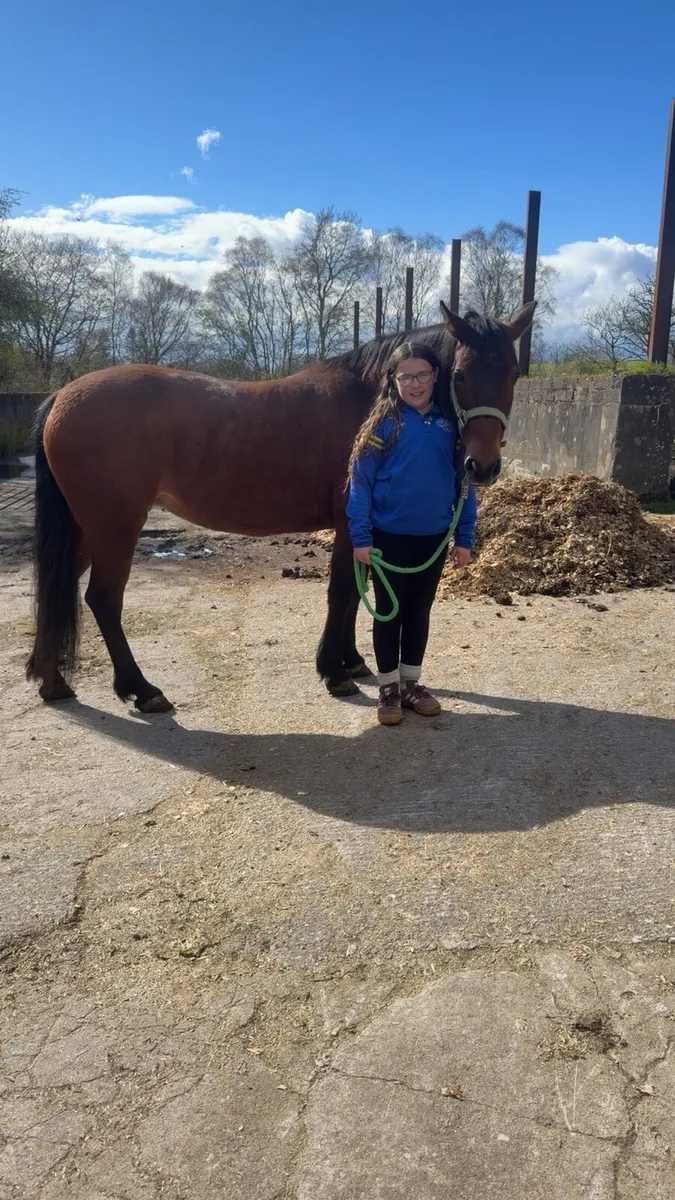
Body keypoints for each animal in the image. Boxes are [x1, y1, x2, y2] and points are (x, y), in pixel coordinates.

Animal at [26, 300, 535, 712]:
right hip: (116, 528)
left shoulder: (363, 528)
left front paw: (352, 662)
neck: (371, 401)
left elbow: (354, 593)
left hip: (86, 530)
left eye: (512, 373)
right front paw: (334, 672)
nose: (483, 466)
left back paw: (53, 683)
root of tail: (61, 397)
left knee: (57, 588)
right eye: (460, 374)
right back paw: (141, 689)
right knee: (102, 599)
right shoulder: (351, 523)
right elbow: (342, 593)